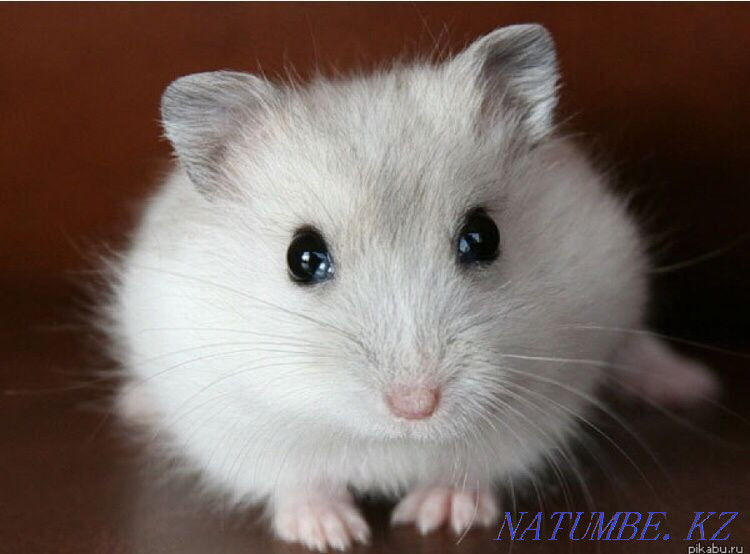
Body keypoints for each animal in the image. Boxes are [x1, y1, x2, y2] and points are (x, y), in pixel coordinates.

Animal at [108, 24, 719, 551]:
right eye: (301, 258)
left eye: (484, 236)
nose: (416, 406)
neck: (391, 441)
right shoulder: (227, 416)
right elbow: (297, 478)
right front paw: (332, 534)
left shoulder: (549, 392)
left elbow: (476, 462)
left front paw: (438, 516)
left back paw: (690, 385)